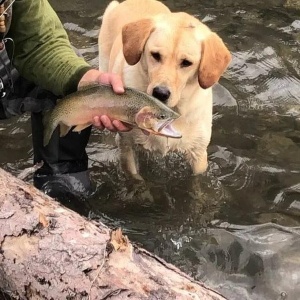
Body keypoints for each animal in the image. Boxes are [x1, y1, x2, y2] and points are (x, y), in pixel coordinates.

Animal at [98, 0, 232, 179]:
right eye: (155, 55)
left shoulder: (198, 154)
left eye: (186, 62)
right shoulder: (127, 146)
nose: (160, 93)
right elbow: (135, 178)